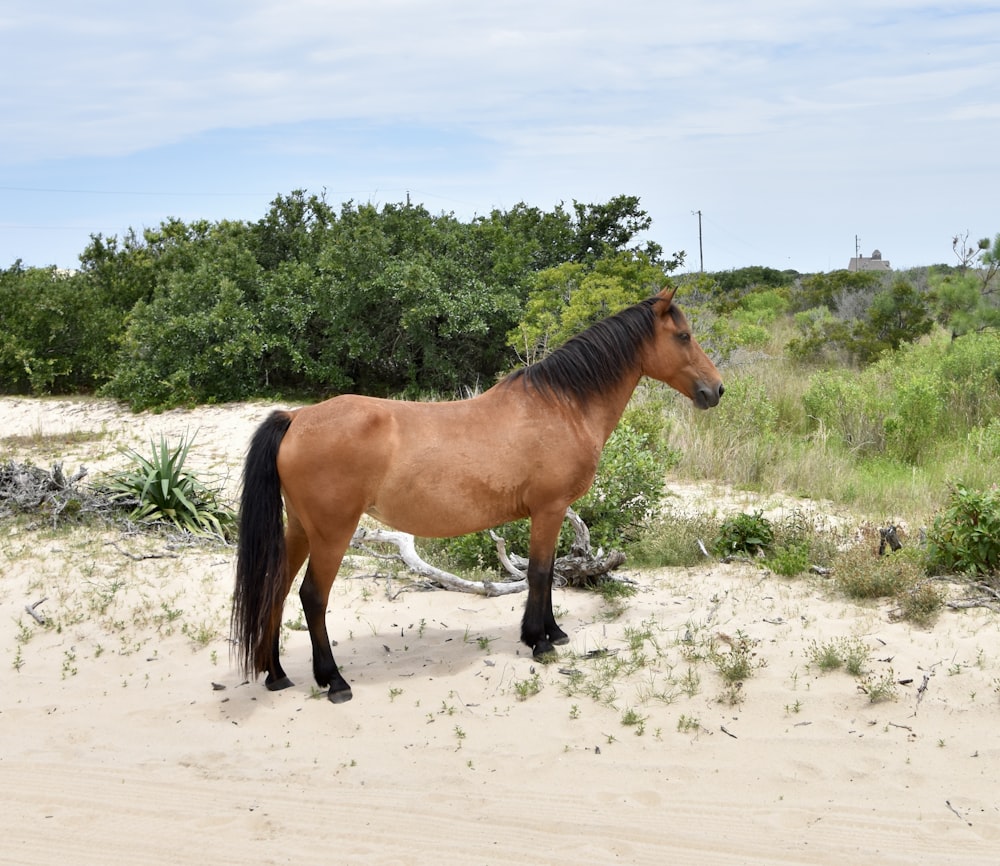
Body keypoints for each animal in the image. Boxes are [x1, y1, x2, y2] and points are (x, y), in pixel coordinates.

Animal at [231, 286, 724, 704]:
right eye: (683, 336)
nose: (716, 389)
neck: (561, 405)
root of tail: (296, 417)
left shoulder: (548, 513)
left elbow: (545, 573)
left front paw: (552, 633)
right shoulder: (549, 509)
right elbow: (540, 573)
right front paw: (540, 641)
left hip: (300, 528)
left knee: (276, 589)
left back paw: (276, 674)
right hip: (332, 534)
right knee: (312, 597)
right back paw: (333, 680)